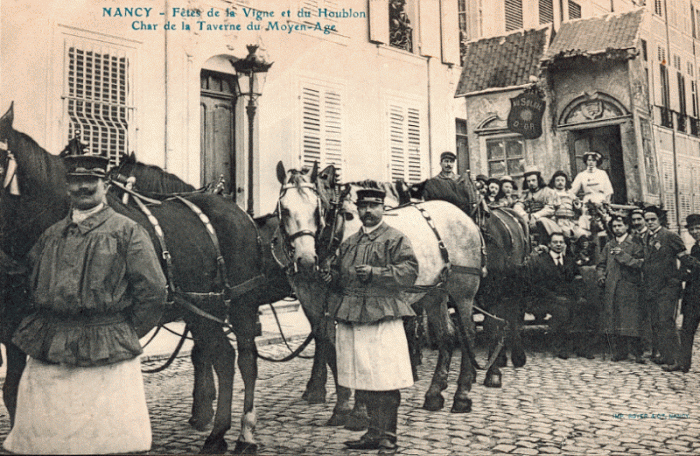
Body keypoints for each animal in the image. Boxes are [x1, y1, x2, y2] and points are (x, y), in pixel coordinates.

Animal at [0, 104, 290, 456]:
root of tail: (240, 213)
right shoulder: (13, 331)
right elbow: (13, 391)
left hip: (240, 303)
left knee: (245, 360)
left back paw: (243, 434)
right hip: (202, 310)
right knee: (222, 356)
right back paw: (218, 434)